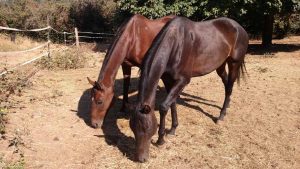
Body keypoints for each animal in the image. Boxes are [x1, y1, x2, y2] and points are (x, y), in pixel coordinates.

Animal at [131, 16, 248, 162]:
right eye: (132, 128)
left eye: (146, 128)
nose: (141, 159)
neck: (175, 43)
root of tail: (239, 28)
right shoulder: (168, 79)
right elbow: (172, 103)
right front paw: (173, 129)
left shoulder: (183, 80)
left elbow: (164, 106)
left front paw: (160, 139)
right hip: (220, 65)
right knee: (226, 84)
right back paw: (226, 109)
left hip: (234, 63)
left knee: (230, 87)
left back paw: (221, 115)